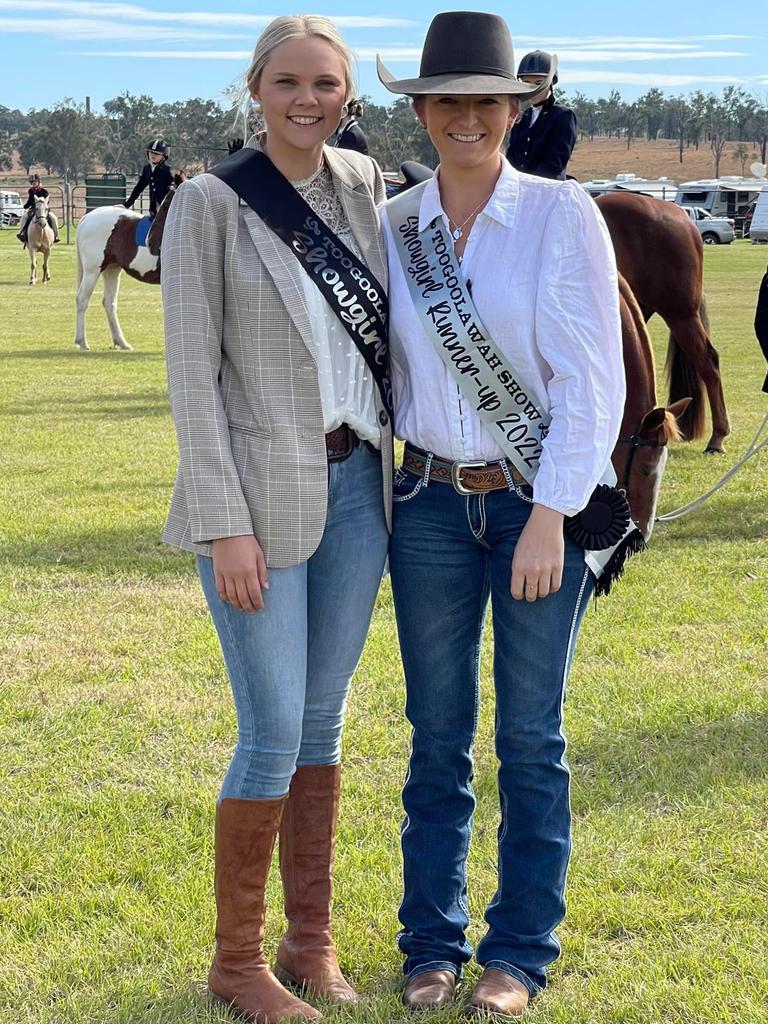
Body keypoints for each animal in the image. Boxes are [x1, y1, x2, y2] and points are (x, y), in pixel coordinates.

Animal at [73, 172, 185, 352]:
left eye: (168, 205)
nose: (150, 242)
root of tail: (87, 217)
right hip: (92, 271)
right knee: (82, 300)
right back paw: (82, 341)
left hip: (111, 270)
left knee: (109, 303)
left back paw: (120, 341)